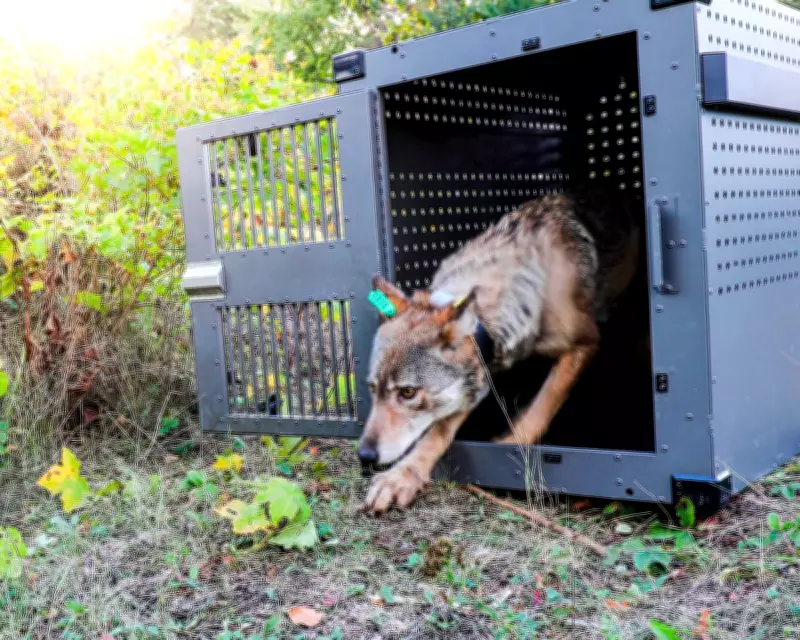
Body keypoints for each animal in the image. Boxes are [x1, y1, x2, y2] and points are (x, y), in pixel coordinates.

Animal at [358, 189, 642, 513]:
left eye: (407, 393)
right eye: (372, 388)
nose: (364, 456)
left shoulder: (585, 342)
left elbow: (544, 402)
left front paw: (510, 443)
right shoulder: (478, 375)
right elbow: (437, 430)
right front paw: (402, 476)